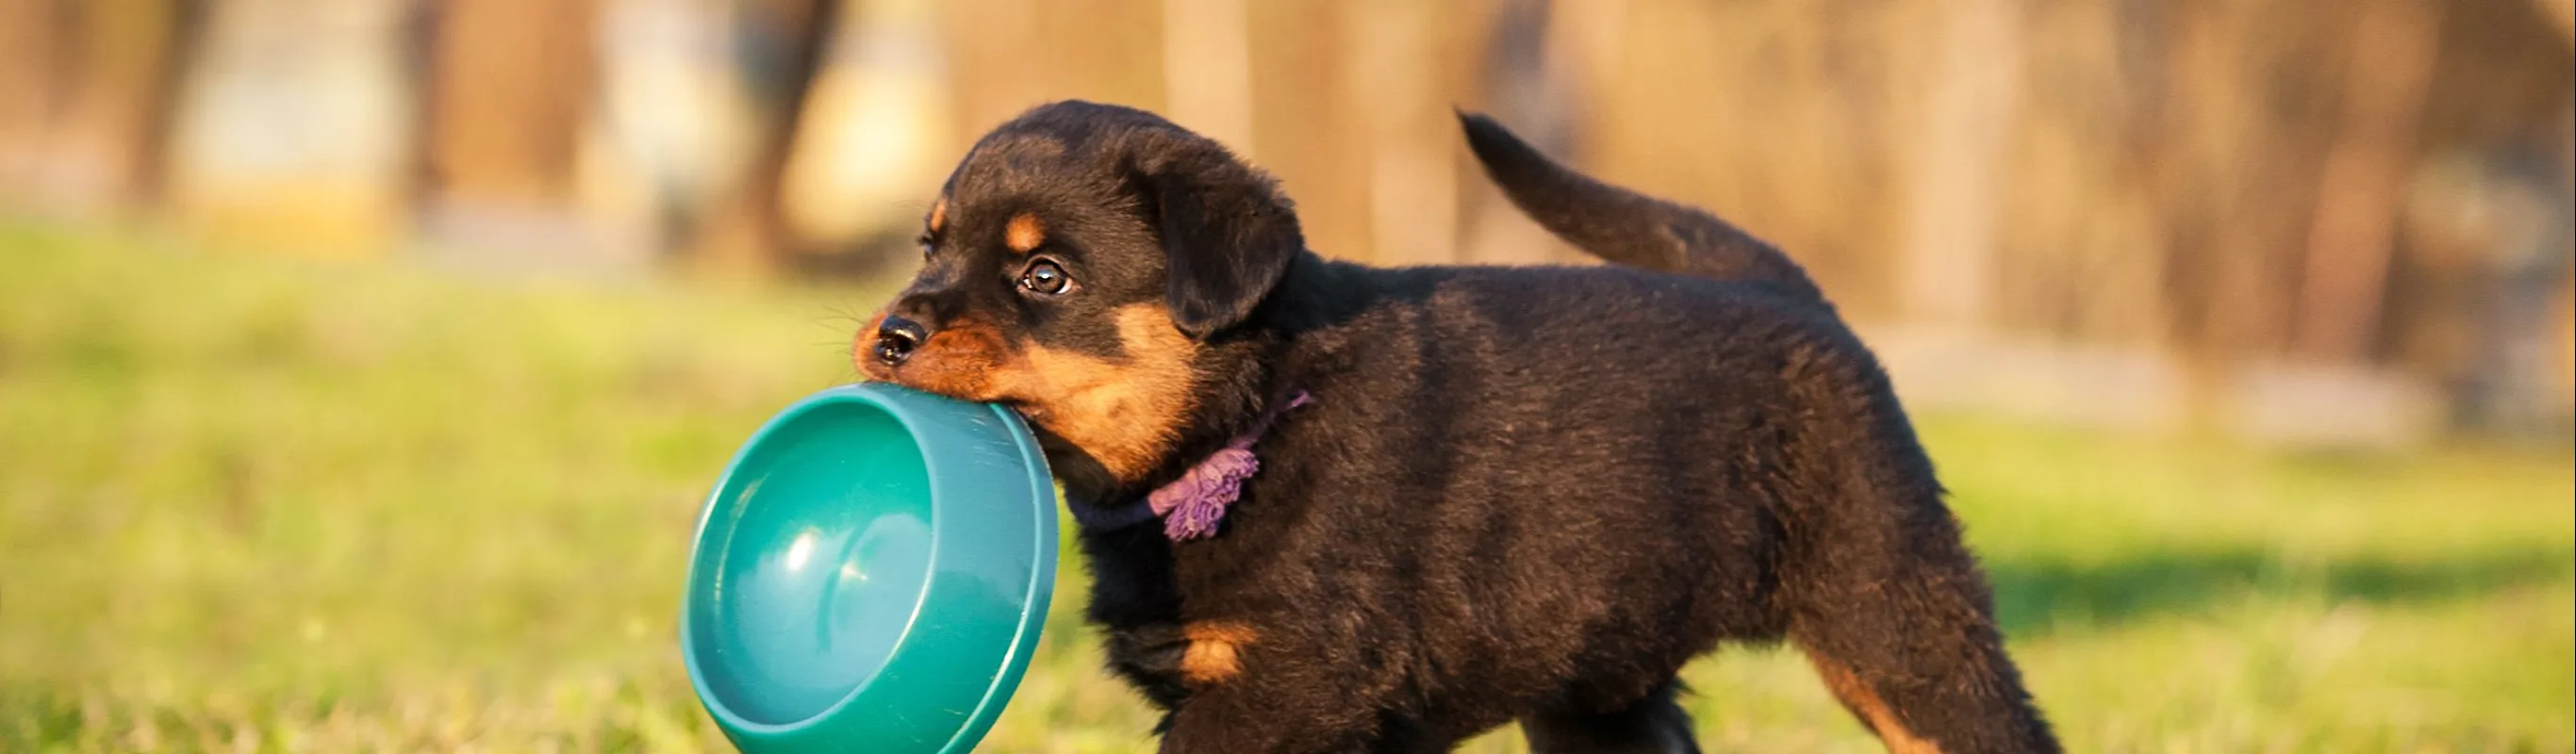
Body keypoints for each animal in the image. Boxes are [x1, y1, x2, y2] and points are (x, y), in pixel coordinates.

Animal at [855, 101, 2060, 751]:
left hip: (1891, 610)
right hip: (1601, 692)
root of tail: (1789, 291)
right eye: (929, 247)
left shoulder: (1279, 687)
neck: (1252, 418)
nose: (891, 334)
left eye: (1044, 277)